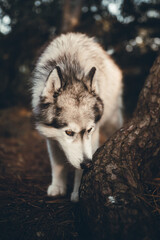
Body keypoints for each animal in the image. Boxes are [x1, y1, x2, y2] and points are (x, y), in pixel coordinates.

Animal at [31, 31, 124, 201]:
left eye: (89, 130)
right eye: (68, 132)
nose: (87, 163)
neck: (70, 70)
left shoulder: (94, 135)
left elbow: (80, 169)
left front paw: (77, 193)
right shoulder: (52, 138)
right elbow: (57, 164)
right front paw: (58, 187)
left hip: (113, 118)